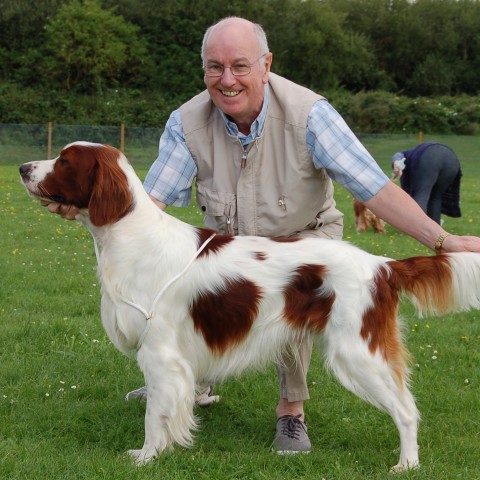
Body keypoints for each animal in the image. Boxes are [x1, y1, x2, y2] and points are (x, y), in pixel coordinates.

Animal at [19, 142, 480, 472]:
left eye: (64, 161)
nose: (24, 168)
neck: (132, 237)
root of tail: (382, 265)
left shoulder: (161, 352)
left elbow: (155, 414)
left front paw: (147, 456)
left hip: (357, 352)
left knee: (406, 410)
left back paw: (407, 463)